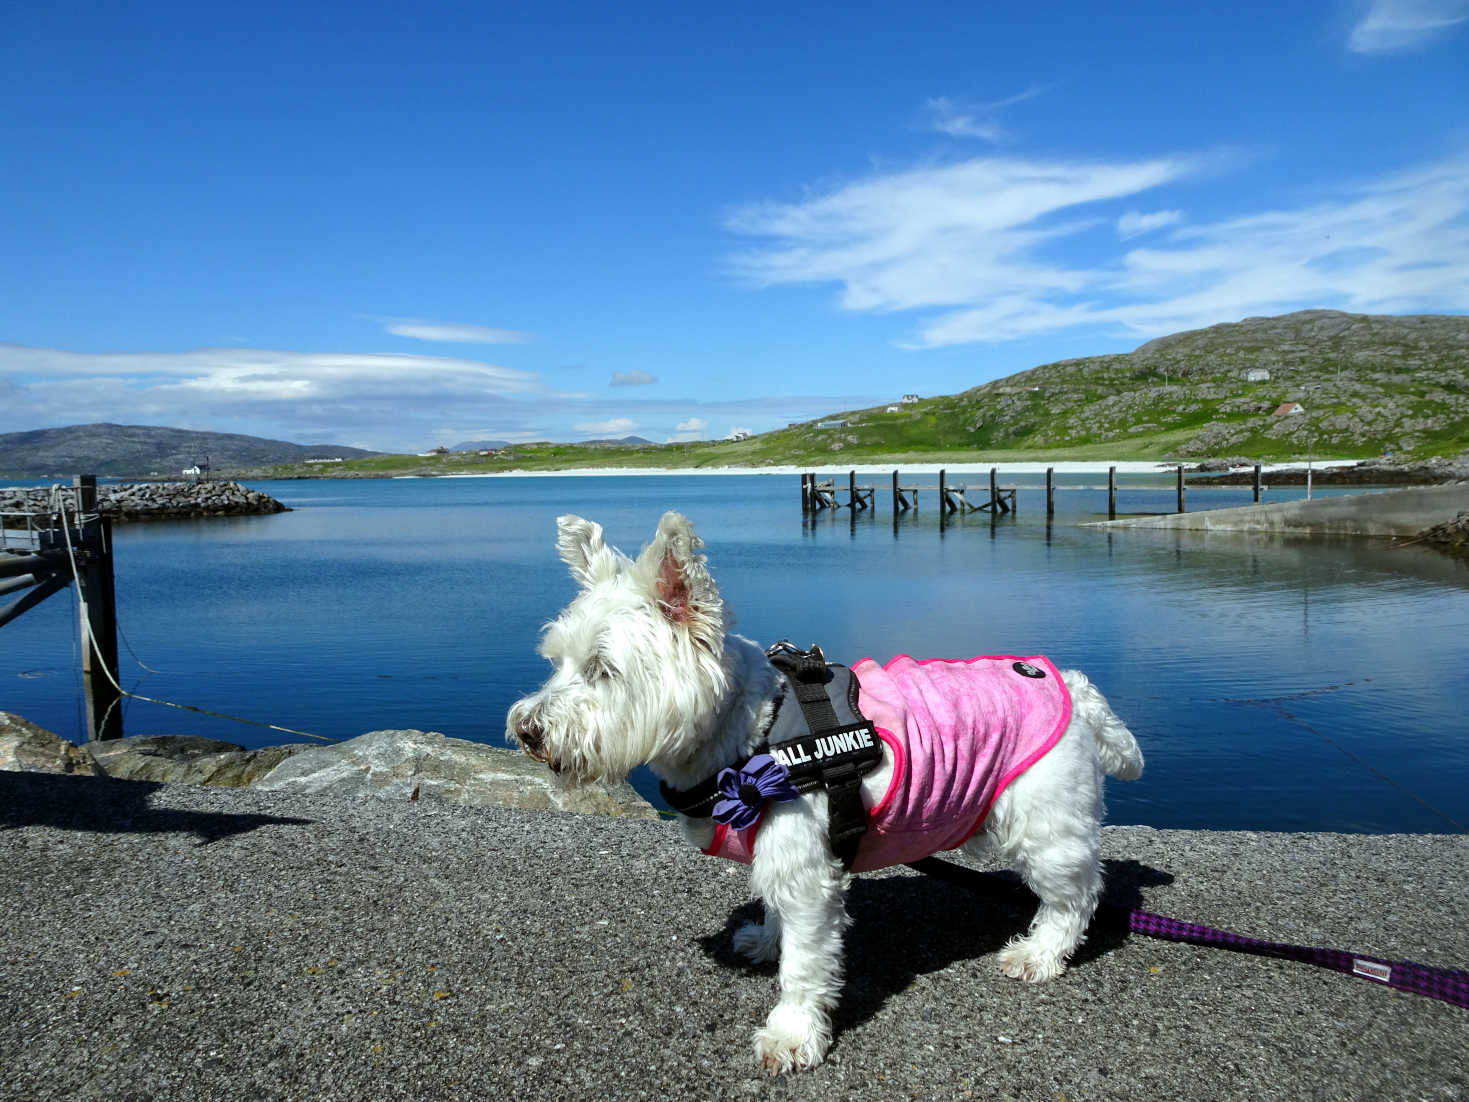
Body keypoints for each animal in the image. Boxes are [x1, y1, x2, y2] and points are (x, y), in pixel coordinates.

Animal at [511, 514, 1139, 1075]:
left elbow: (805, 964)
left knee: (1076, 897)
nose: (528, 730)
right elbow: (776, 915)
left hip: (1046, 829)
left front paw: (792, 1036)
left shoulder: (807, 876)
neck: (753, 736)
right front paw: (768, 939)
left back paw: (1038, 954)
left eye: (602, 669)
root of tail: (1069, 685)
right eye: (557, 661)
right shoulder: (780, 857)